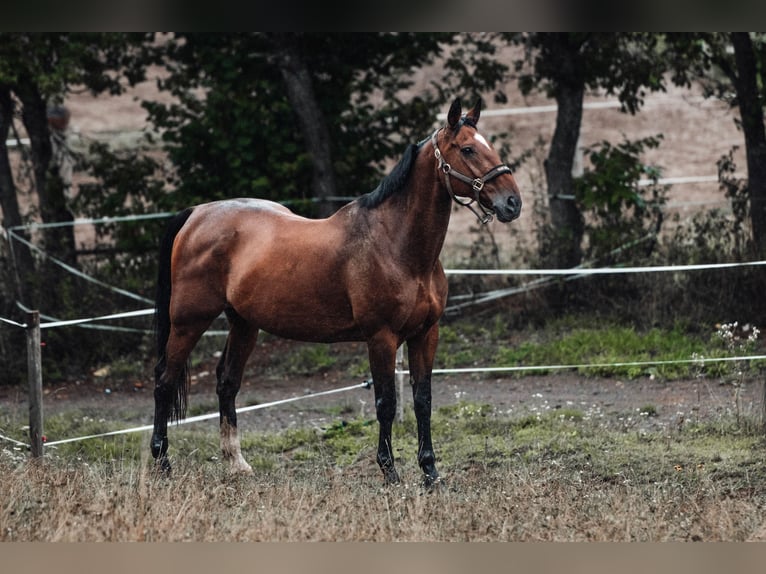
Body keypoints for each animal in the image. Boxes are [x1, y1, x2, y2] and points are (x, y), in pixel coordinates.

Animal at [151, 98, 522, 485]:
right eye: (467, 149)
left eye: (488, 144)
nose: (512, 203)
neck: (397, 245)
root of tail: (196, 214)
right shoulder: (382, 337)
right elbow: (386, 403)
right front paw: (390, 472)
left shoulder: (426, 334)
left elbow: (423, 400)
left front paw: (431, 472)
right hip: (188, 321)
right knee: (164, 381)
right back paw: (162, 464)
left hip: (244, 324)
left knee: (226, 383)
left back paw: (236, 463)